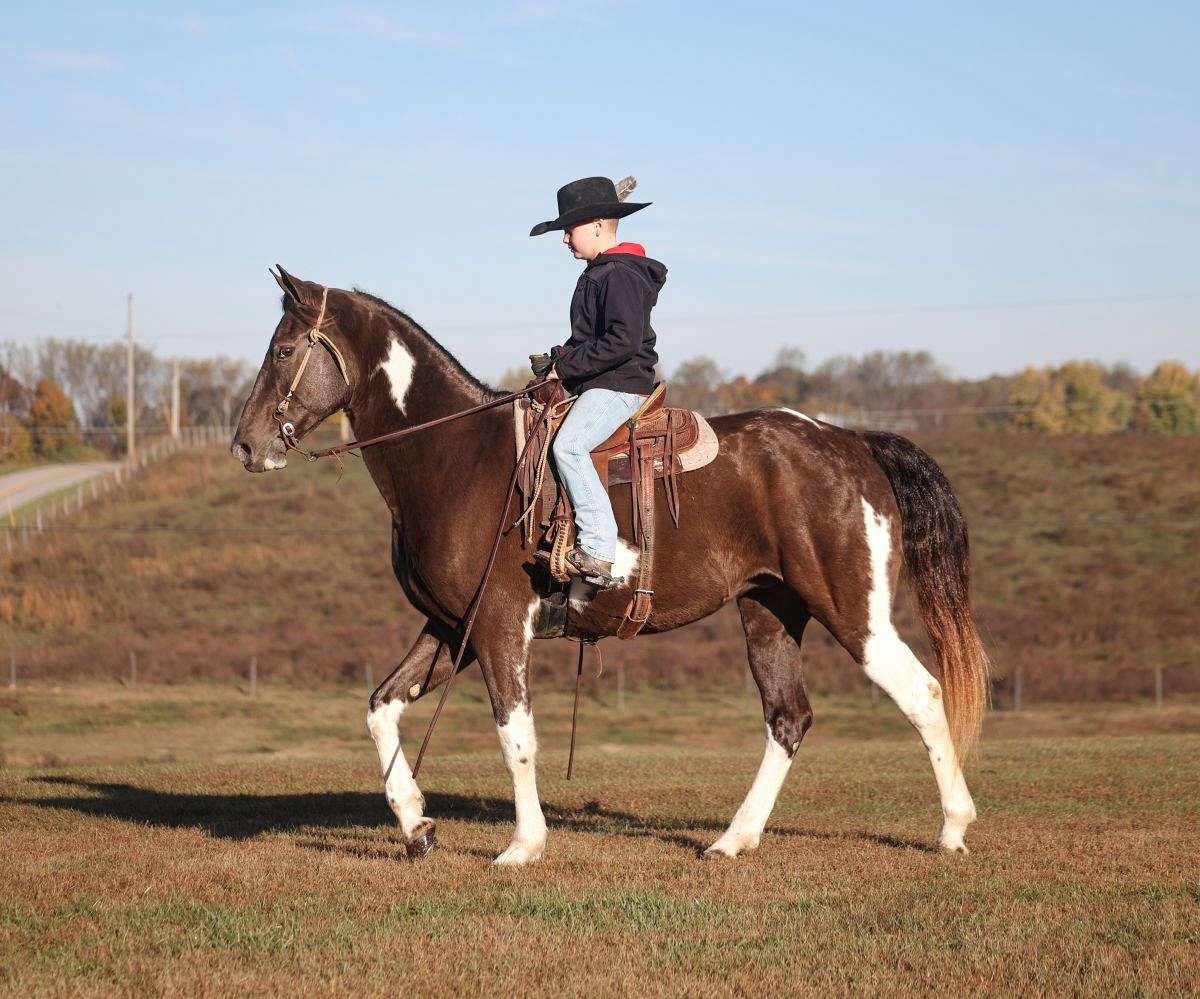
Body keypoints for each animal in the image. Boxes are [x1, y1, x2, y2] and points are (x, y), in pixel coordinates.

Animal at [231, 266, 989, 865]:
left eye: (283, 348)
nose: (244, 443)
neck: (454, 458)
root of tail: (851, 441)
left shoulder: (498, 629)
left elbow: (516, 736)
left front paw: (523, 844)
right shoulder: (452, 627)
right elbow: (381, 707)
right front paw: (417, 824)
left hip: (854, 613)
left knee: (922, 694)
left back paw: (954, 828)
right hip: (769, 612)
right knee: (788, 718)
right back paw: (733, 839)